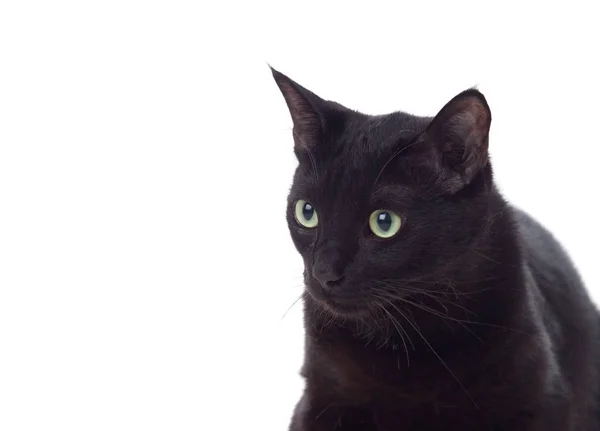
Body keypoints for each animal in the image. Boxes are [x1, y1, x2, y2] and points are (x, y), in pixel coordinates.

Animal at [272, 67, 600, 431]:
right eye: (307, 212)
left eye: (384, 222)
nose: (323, 273)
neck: (406, 345)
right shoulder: (320, 400)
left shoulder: (542, 401)